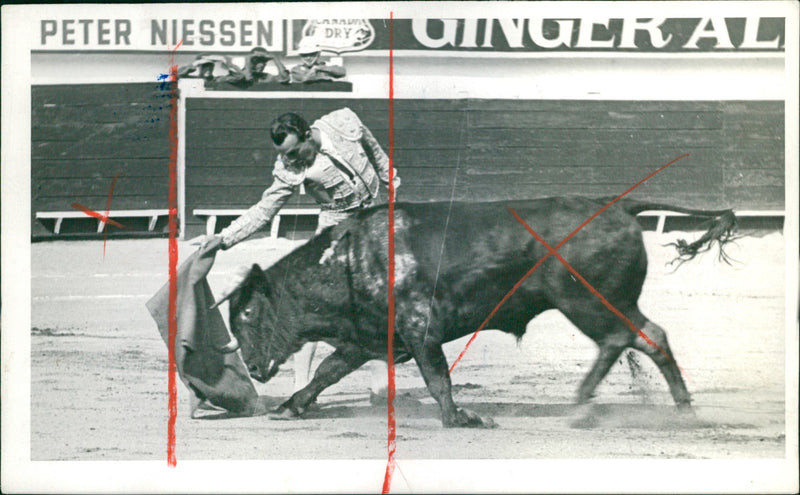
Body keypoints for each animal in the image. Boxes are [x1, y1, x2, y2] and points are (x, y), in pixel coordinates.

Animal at [214, 196, 736, 428]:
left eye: (248, 314)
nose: (253, 368)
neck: (349, 259)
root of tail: (621, 207)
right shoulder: (370, 338)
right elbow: (327, 370)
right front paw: (290, 405)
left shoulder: (420, 331)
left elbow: (437, 378)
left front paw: (459, 418)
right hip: (611, 302)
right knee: (650, 337)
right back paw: (683, 410)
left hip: (586, 302)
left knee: (619, 338)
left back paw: (582, 403)